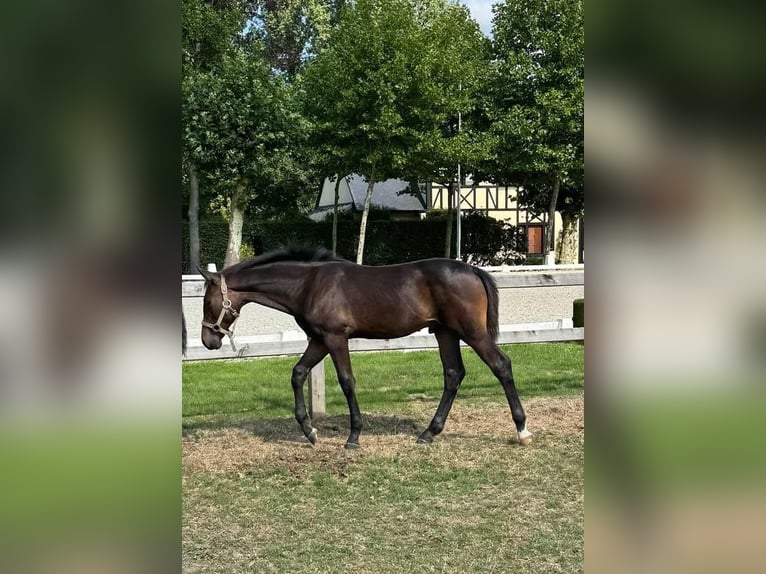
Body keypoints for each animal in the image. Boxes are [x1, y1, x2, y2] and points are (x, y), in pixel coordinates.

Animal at [197, 247, 532, 449]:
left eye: (207, 302)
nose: (208, 341)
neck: (309, 283)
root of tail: (473, 270)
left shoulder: (335, 337)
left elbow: (347, 382)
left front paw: (354, 437)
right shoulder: (319, 339)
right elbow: (298, 373)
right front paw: (310, 431)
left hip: (471, 332)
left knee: (501, 365)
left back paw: (522, 430)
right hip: (445, 332)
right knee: (453, 374)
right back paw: (428, 433)